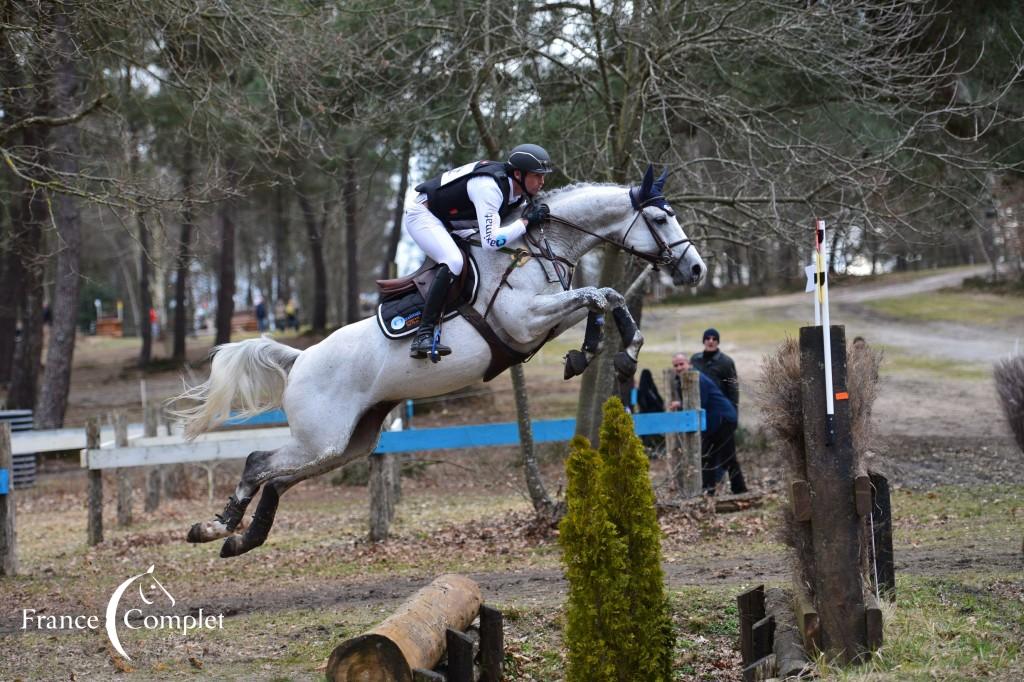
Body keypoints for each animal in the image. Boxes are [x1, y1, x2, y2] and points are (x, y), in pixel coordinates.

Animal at [176, 166, 704, 557]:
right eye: (662, 220)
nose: (696, 268)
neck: (533, 247)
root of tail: (301, 357)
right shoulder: (525, 321)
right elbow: (599, 293)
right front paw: (612, 351)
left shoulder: (545, 318)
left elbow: (603, 296)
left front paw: (603, 351)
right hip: (321, 437)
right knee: (257, 463)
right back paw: (216, 527)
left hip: (348, 443)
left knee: (279, 481)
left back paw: (243, 538)